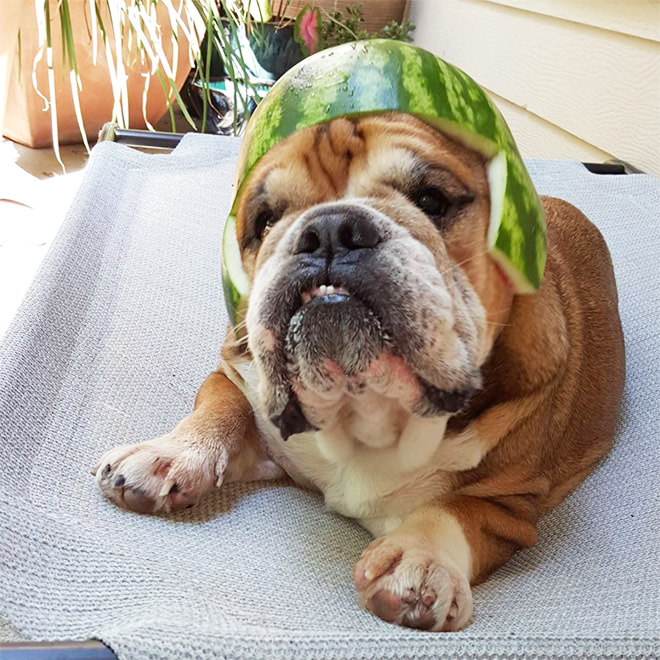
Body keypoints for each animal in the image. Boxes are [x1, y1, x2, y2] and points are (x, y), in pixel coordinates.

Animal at [91, 113, 624, 628]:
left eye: (431, 200)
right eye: (264, 221)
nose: (328, 229)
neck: (363, 405)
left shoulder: (510, 505)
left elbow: (457, 510)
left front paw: (421, 559)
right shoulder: (244, 385)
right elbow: (222, 406)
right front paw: (170, 454)